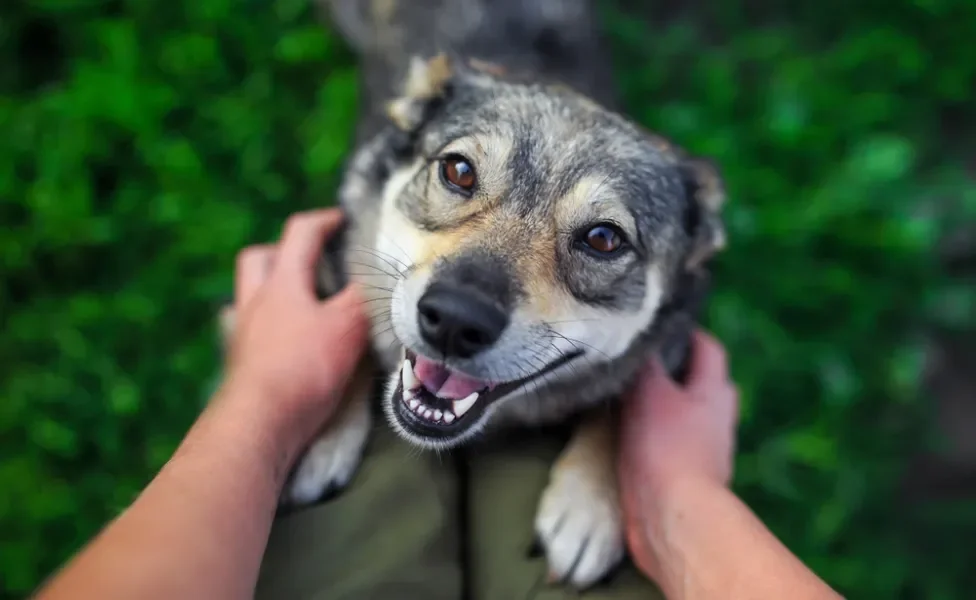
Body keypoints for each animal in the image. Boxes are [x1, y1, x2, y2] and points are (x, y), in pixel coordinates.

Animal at [219, 0, 724, 592]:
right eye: (458, 170)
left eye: (604, 238)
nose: (455, 321)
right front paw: (325, 436)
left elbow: (624, 402)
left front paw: (589, 506)